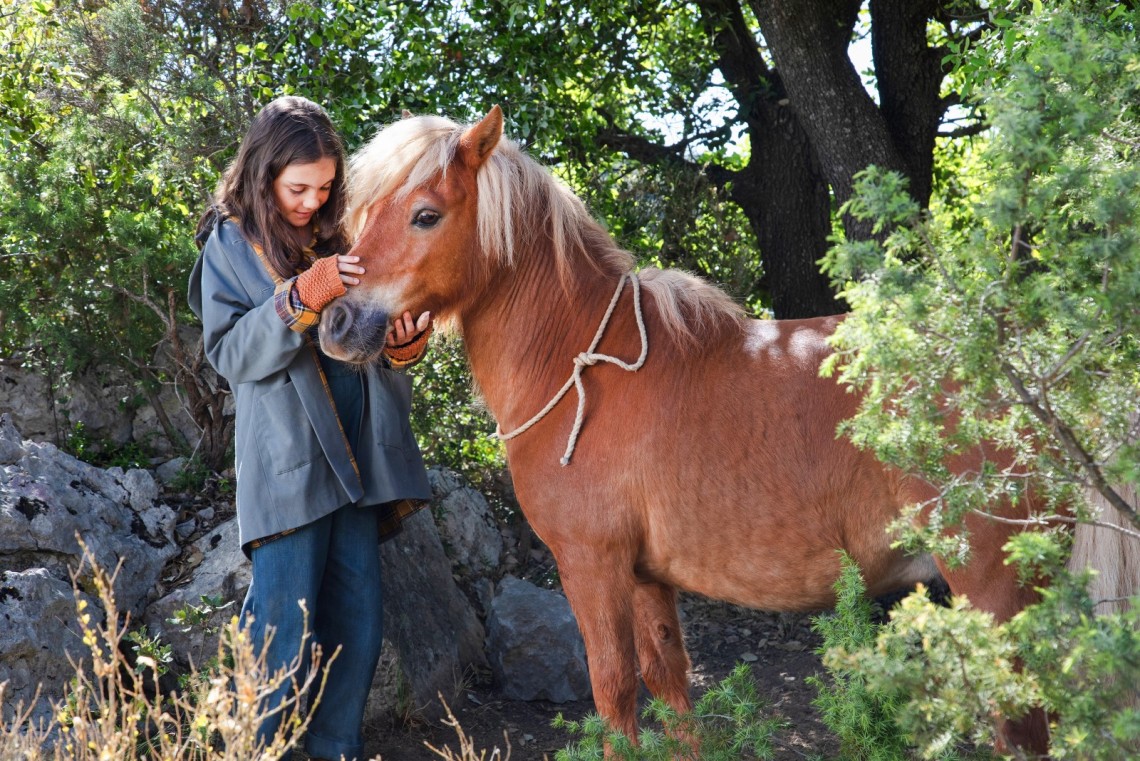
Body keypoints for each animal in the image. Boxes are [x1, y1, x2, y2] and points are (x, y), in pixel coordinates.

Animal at [316, 105, 1135, 756]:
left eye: (425, 214)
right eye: (364, 213)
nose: (337, 322)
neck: (581, 367)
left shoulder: (593, 567)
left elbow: (614, 695)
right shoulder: (647, 580)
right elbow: (671, 691)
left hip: (996, 595)